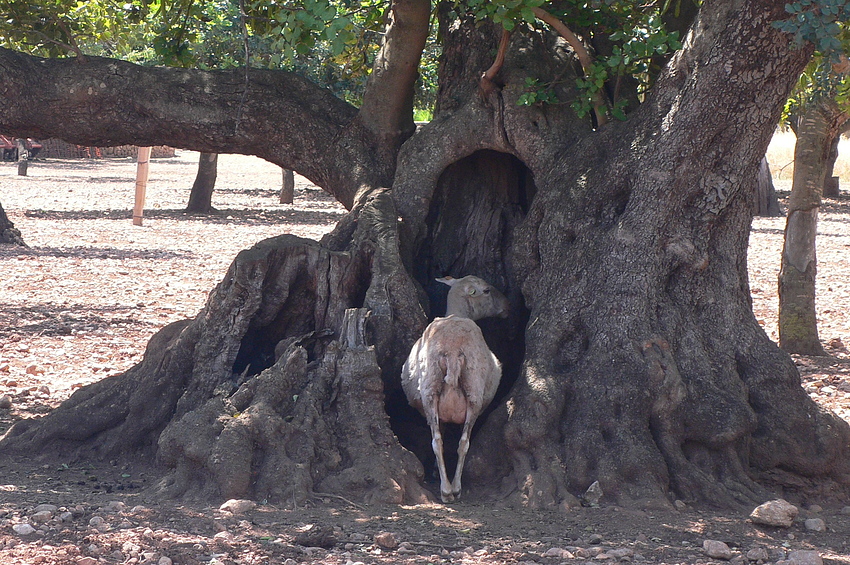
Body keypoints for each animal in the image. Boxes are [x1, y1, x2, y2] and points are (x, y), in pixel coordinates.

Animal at [400, 276, 506, 500]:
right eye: (487, 290)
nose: (507, 306)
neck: (456, 314)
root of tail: (452, 350)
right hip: (472, 393)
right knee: (463, 442)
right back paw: (453, 489)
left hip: (431, 391)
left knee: (438, 441)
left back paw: (447, 489)